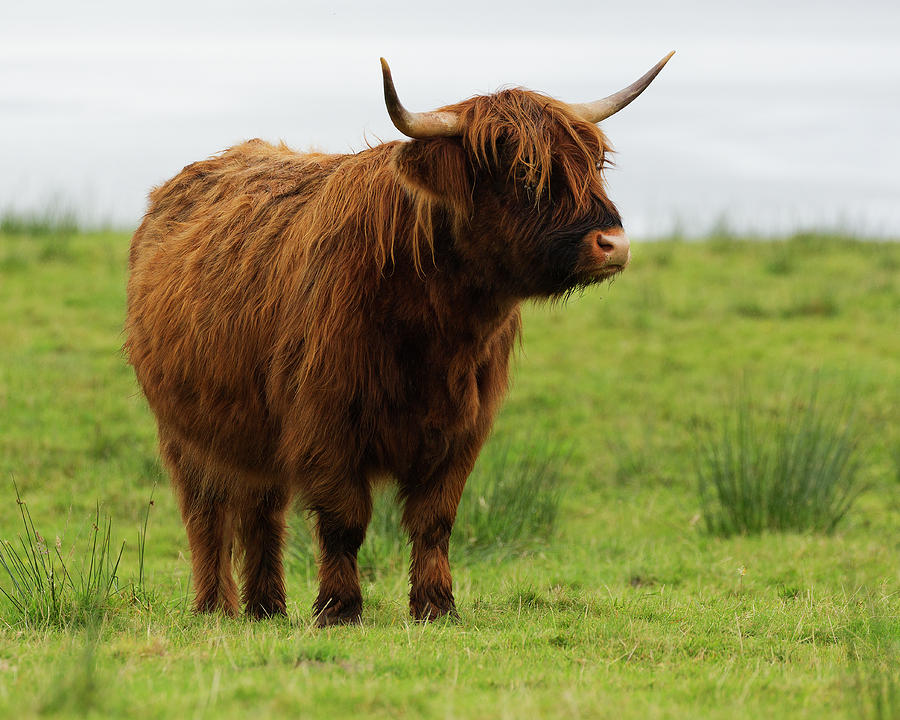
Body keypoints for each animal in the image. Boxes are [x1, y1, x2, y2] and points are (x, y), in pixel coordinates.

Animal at [126, 53, 676, 624]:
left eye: (595, 163)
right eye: (524, 171)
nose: (613, 244)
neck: (437, 332)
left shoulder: (463, 429)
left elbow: (435, 521)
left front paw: (435, 604)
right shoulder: (325, 421)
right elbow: (344, 521)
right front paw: (339, 608)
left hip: (254, 432)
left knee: (262, 512)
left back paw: (267, 607)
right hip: (186, 429)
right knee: (207, 513)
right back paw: (216, 605)